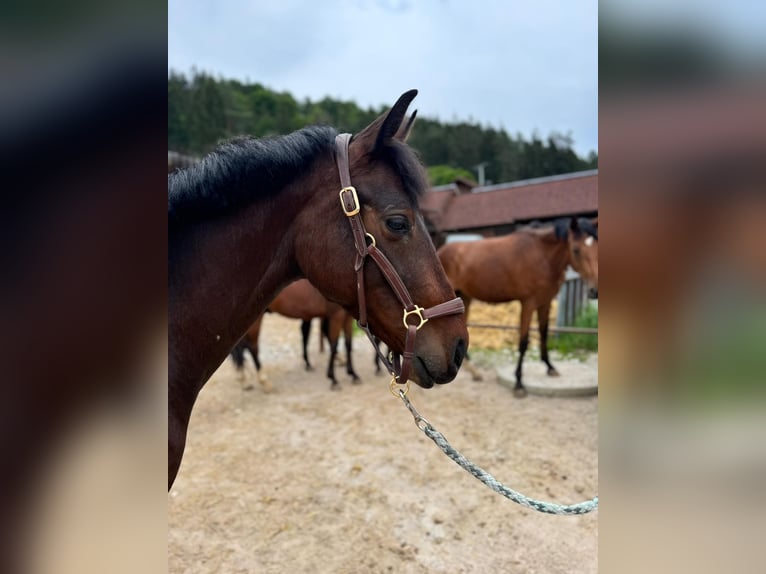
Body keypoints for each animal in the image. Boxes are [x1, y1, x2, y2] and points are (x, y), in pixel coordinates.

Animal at [231, 280, 360, 392]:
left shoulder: (347, 317)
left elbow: (348, 344)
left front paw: (353, 374)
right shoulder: (335, 315)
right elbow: (333, 345)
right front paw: (333, 379)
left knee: (241, 347)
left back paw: (243, 379)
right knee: (252, 347)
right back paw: (264, 381)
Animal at [438, 218, 600, 398]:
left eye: (597, 246)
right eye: (576, 249)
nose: (594, 291)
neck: (542, 255)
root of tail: (441, 251)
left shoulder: (545, 302)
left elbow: (544, 333)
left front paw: (550, 367)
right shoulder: (528, 303)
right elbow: (523, 342)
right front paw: (519, 383)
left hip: (464, 297)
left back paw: (473, 370)